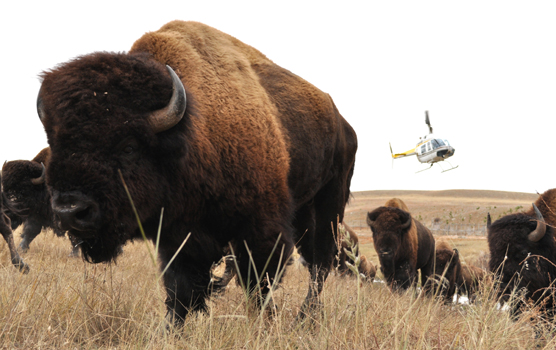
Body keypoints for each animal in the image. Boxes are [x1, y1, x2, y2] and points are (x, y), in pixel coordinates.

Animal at [35, 20, 356, 324]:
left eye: (129, 147)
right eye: (55, 143)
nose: (69, 211)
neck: (192, 131)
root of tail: (342, 122)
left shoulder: (262, 228)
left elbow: (258, 284)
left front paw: (265, 325)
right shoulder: (179, 237)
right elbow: (181, 292)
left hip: (330, 201)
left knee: (321, 261)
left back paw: (305, 318)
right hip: (304, 209)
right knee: (314, 259)